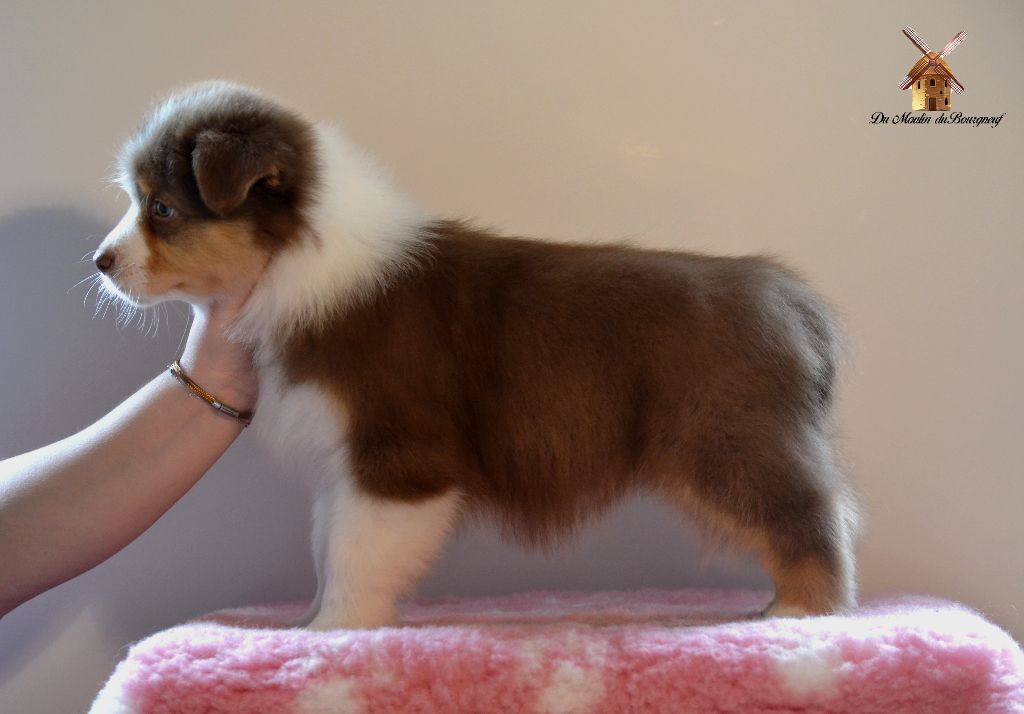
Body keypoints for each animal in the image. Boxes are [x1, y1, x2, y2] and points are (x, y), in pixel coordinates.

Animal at [94, 81, 858, 629]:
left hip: (730, 440)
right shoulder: (342, 464)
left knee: (814, 513)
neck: (302, 259)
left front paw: (332, 631)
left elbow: (354, 553)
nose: (99, 262)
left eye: (162, 209)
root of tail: (790, 297)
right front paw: (307, 622)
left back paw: (801, 611)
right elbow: (326, 545)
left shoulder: (398, 457)